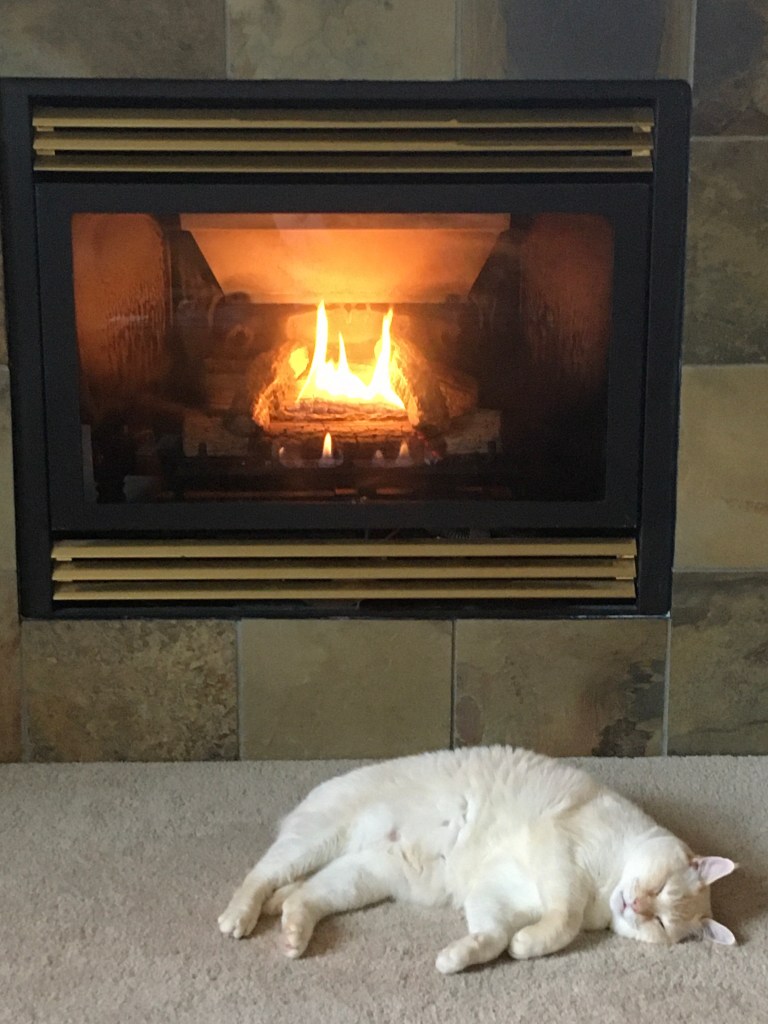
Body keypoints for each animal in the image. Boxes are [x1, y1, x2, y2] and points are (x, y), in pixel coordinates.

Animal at [218, 746, 736, 973]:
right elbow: (563, 921)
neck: (604, 894)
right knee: (260, 875)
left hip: (362, 876)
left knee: (300, 896)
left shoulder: (495, 894)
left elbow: (492, 935)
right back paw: (238, 917)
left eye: (662, 922)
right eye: (661, 889)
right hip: (319, 840)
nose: (637, 906)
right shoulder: (559, 852)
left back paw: (290, 934)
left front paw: (464, 957)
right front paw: (530, 943)